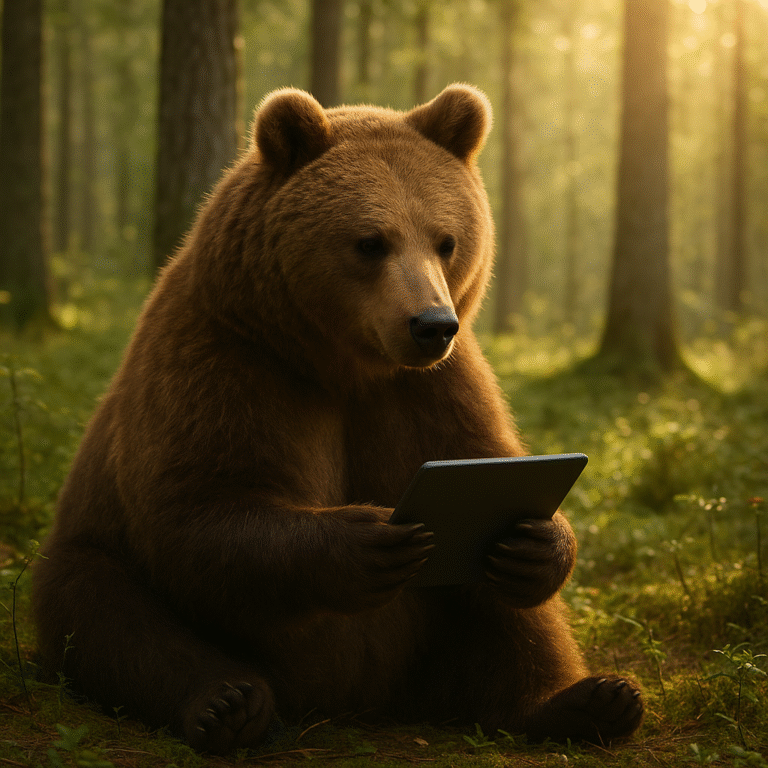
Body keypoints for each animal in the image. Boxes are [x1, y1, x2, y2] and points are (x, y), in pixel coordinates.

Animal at [32, 84, 643, 755]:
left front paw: (541, 543)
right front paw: (367, 539)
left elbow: (490, 464)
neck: (343, 366)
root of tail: (360, 701)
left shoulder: (434, 390)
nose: (432, 324)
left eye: (446, 239)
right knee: (108, 617)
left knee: (503, 614)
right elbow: (198, 509)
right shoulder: (225, 363)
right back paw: (225, 703)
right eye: (371, 241)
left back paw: (585, 701)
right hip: (95, 552)